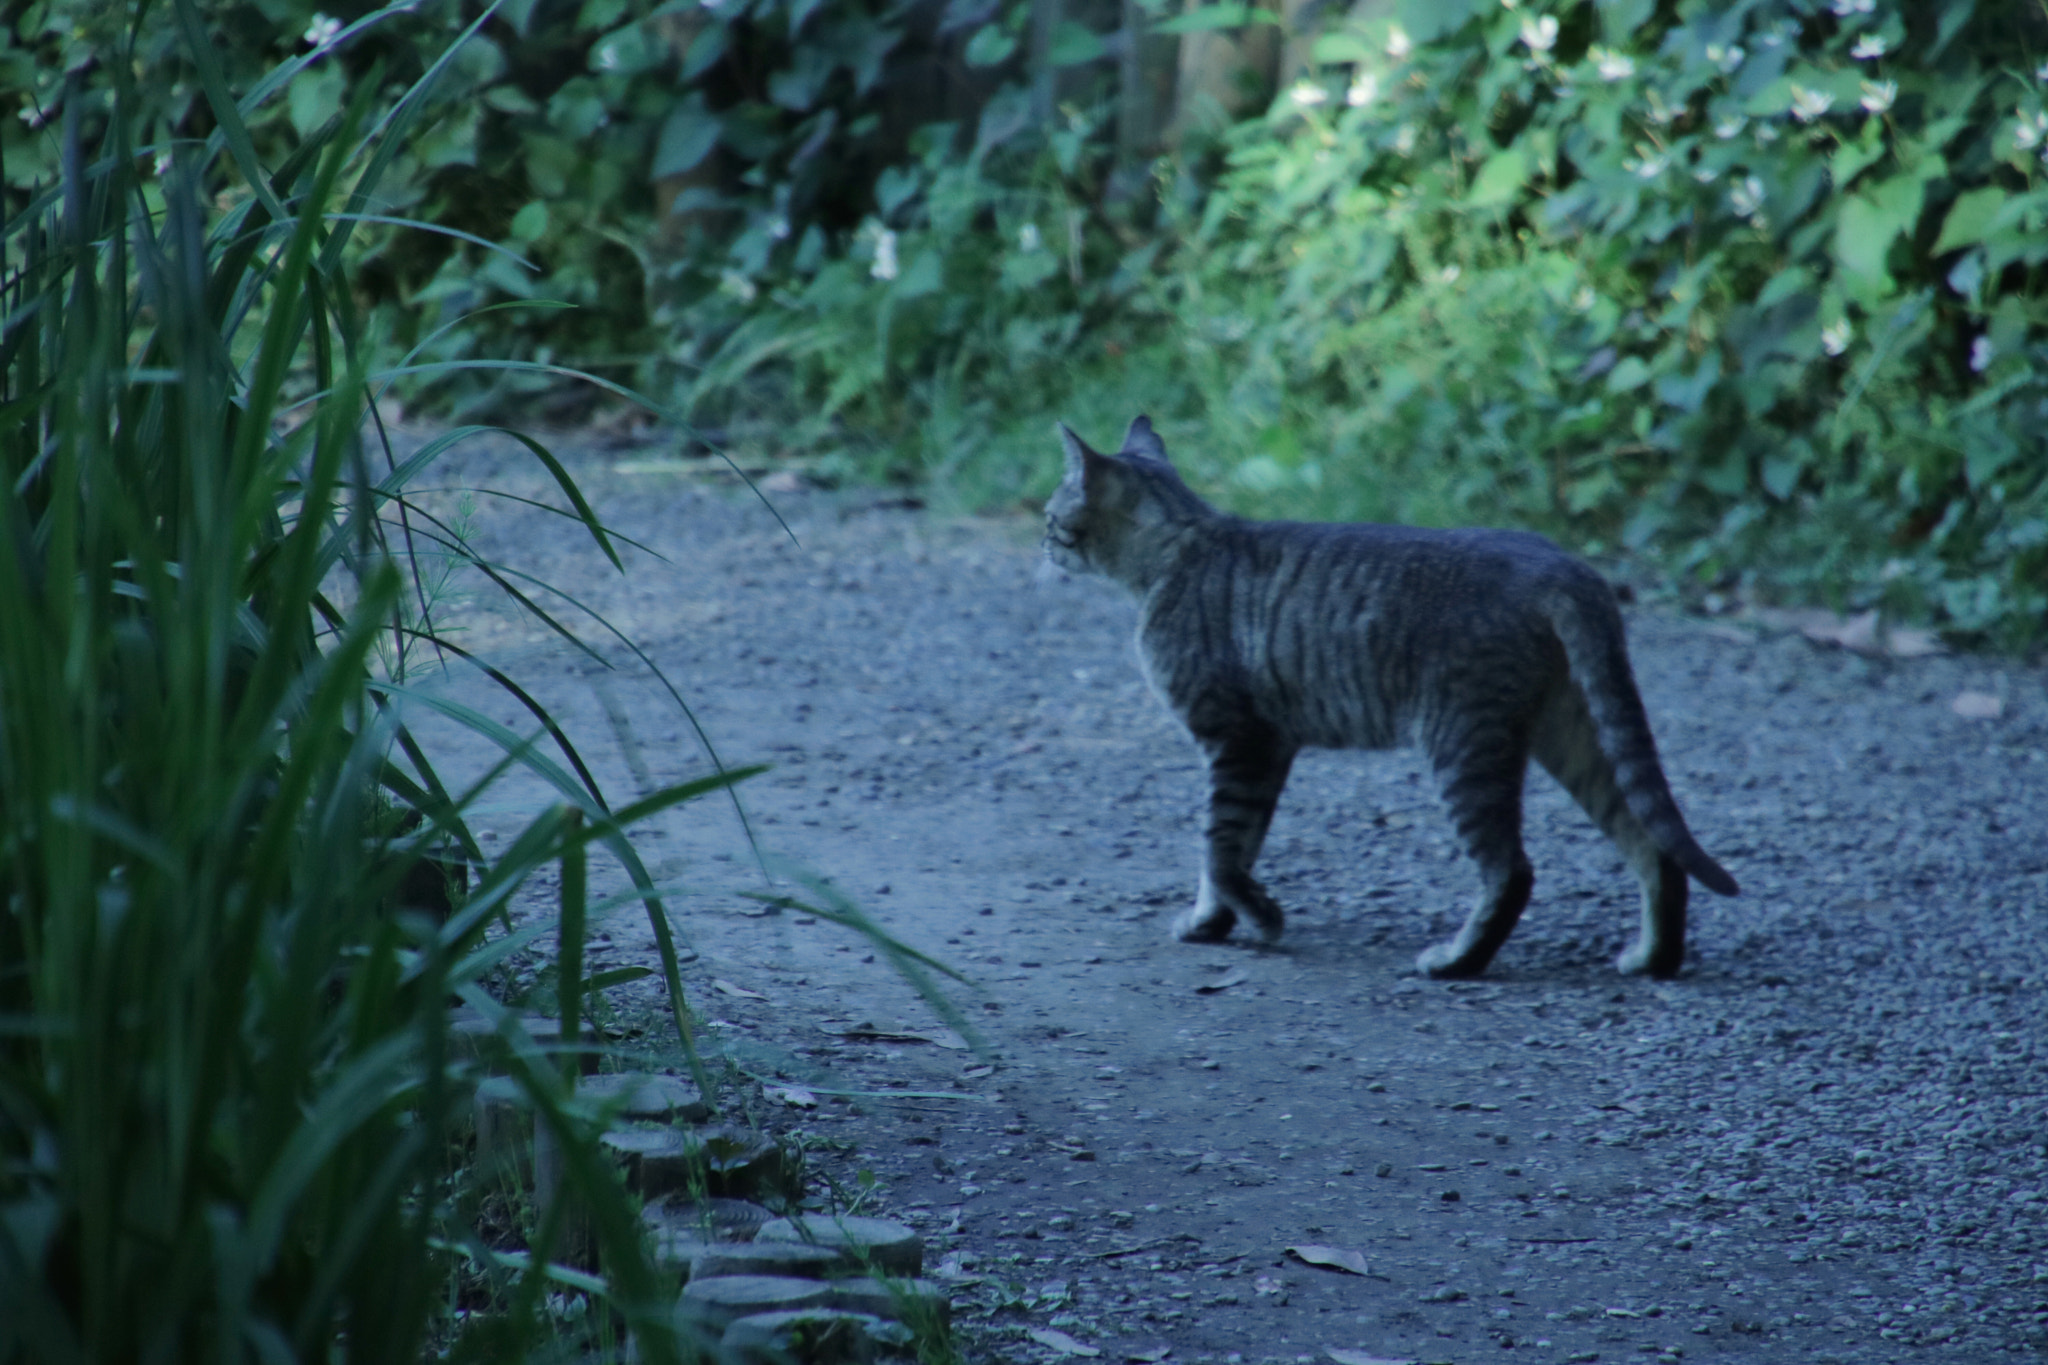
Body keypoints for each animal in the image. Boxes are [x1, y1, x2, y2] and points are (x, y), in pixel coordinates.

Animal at [1048, 417, 1736, 982]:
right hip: (1572, 736)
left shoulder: (1235, 740)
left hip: (1464, 742)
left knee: (1513, 870)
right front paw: (1216, 924)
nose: (1043, 548)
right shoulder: (1268, 747)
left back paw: (1458, 961)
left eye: (1052, 521)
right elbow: (1234, 846)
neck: (1175, 548)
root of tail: (1565, 566)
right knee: (1653, 847)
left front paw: (1256, 918)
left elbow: (1217, 847)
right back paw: (1653, 959)